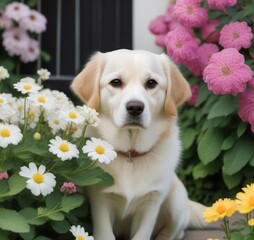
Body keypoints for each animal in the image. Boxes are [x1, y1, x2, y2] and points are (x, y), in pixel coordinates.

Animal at [71, 49, 206, 240]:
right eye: (116, 82)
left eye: (151, 83)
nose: (135, 107)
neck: (130, 155)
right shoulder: (100, 198)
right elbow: (106, 233)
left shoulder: (151, 201)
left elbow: (143, 234)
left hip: (177, 204)